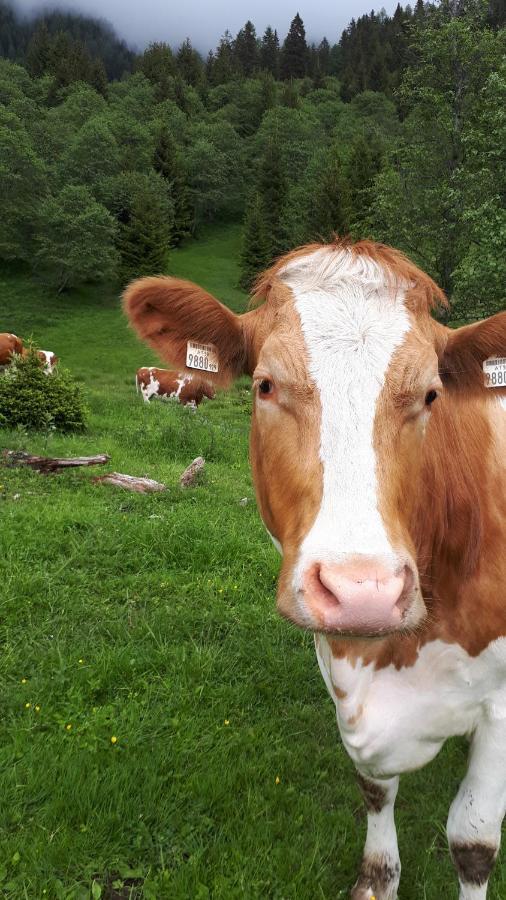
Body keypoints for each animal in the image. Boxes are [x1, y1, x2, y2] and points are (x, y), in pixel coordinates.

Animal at [124, 241, 506, 900]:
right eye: (265, 384)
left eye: (432, 394)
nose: (363, 594)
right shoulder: (341, 671)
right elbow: (375, 790)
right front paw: (377, 878)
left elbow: (473, 841)